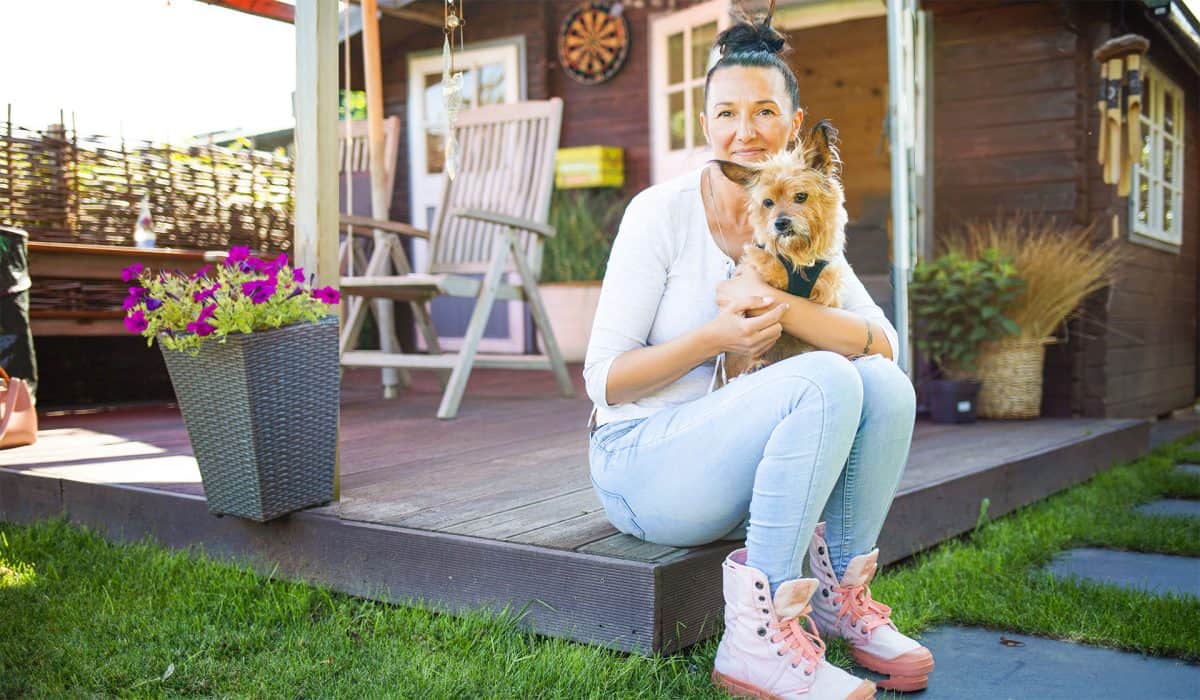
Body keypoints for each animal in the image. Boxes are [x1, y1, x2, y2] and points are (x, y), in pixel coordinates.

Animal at [715, 120, 849, 384]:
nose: (780, 223)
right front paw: (754, 363)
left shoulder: (827, 299)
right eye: (768, 203)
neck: (797, 258)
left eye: (801, 196)